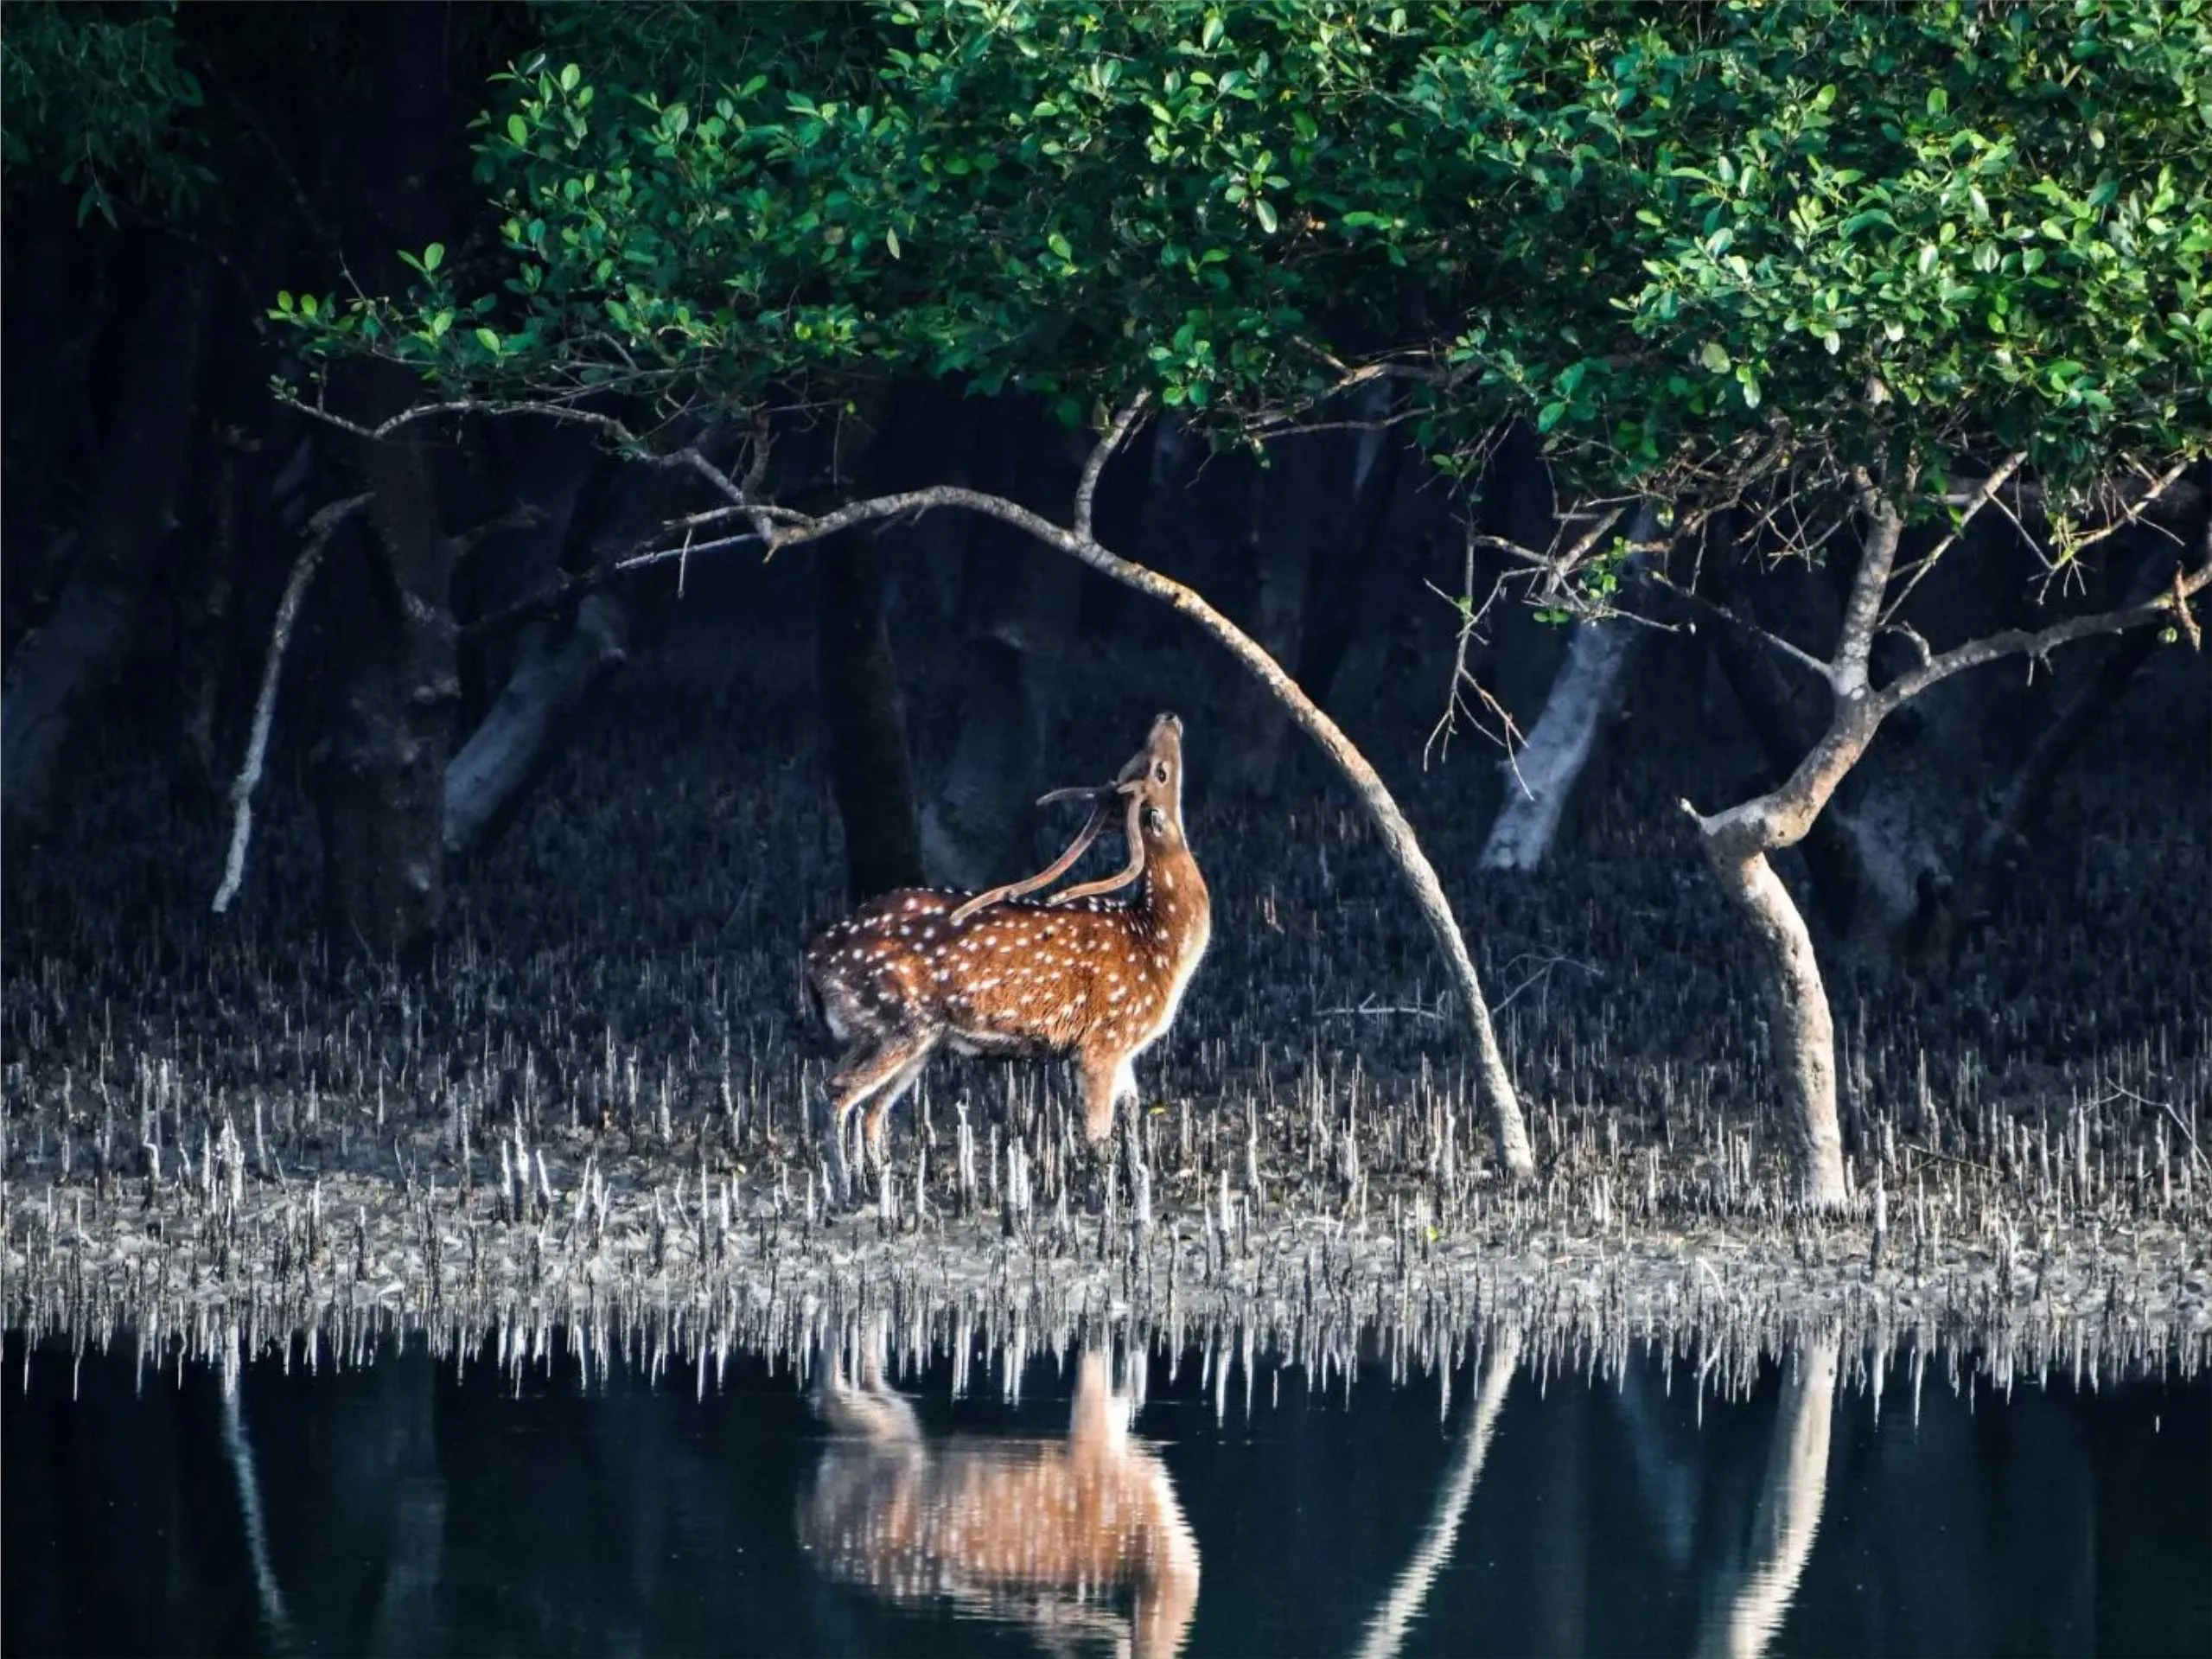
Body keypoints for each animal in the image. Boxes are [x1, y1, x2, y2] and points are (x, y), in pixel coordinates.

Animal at [805, 711, 1212, 1185]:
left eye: (1142, 767)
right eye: (1159, 772)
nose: (1169, 717)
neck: (1160, 945)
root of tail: (813, 960)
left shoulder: (1124, 1048)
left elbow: (1130, 1117)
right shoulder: (1102, 1041)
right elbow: (1098, 1138)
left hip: (905, 1039)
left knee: (869, 1106)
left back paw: (880, 1175)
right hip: (899, 1022)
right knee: (839, 1093)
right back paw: (842, 1186)